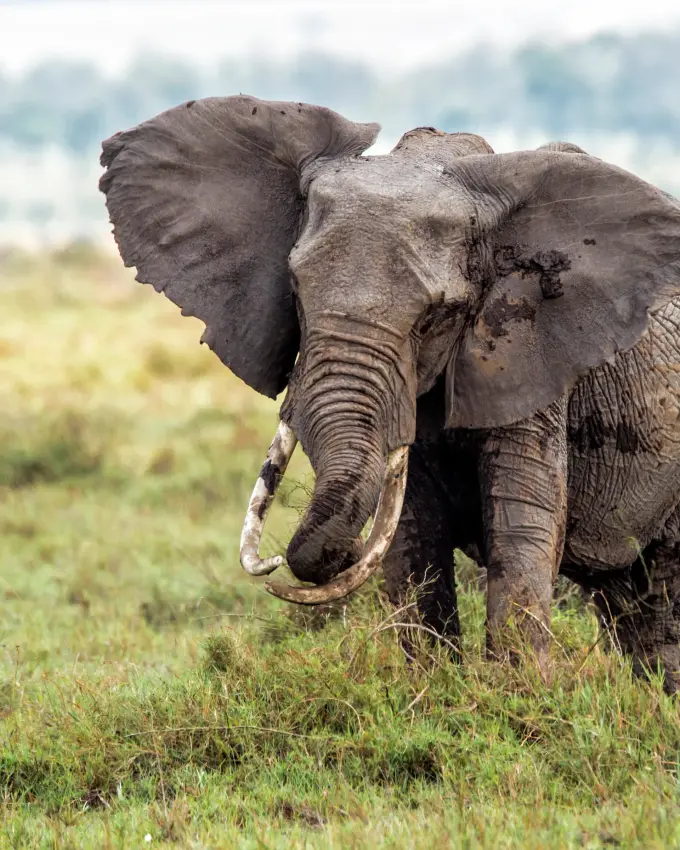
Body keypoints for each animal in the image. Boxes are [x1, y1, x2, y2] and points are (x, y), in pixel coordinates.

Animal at [99, 96, 680, 691]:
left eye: (436, 316)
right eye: (295, 292)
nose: (276, 568)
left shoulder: (530, 352)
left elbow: (520, 516)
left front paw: (519, 695)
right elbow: (411, 527)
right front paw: (434, 686)